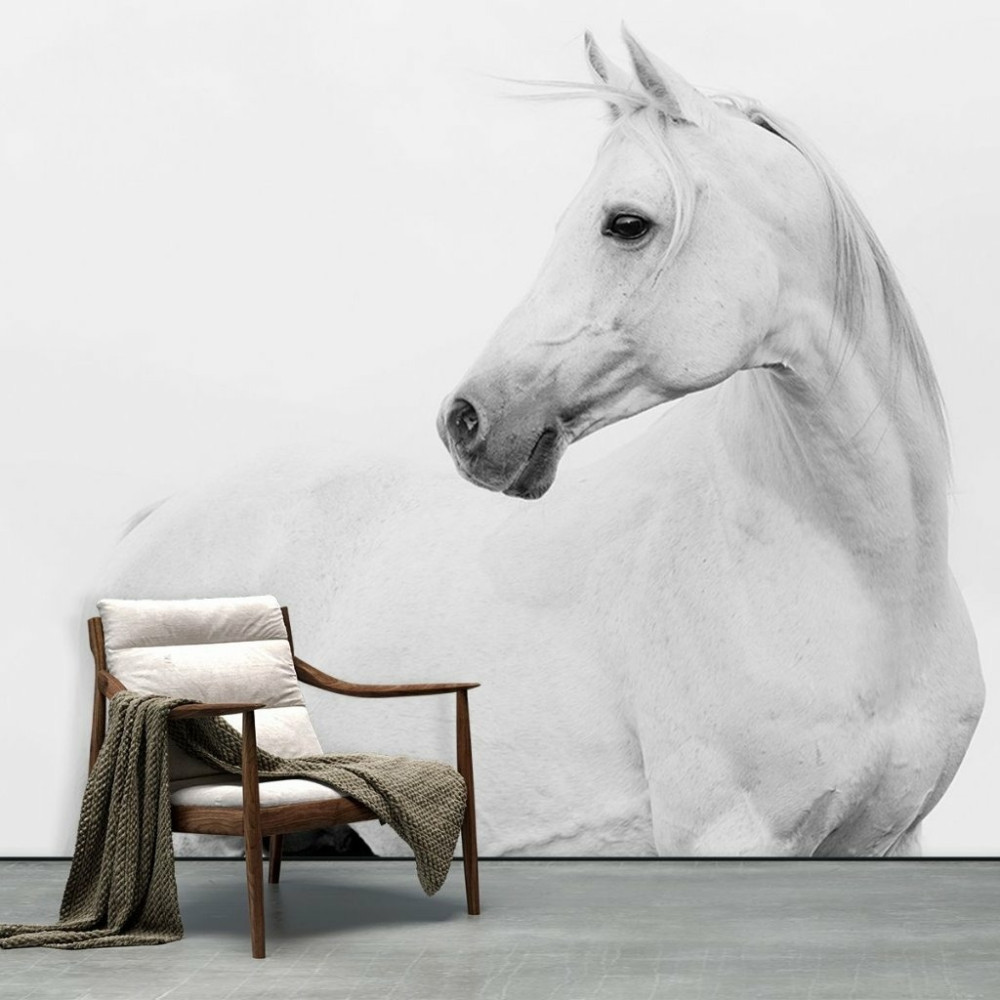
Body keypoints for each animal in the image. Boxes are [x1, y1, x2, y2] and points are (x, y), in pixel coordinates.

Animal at [95, 31, 983, 858]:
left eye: (626, 224)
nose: (466, 420)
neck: (862, 580)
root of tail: (157, 520)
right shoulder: (731, 836)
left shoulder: (891, 838)